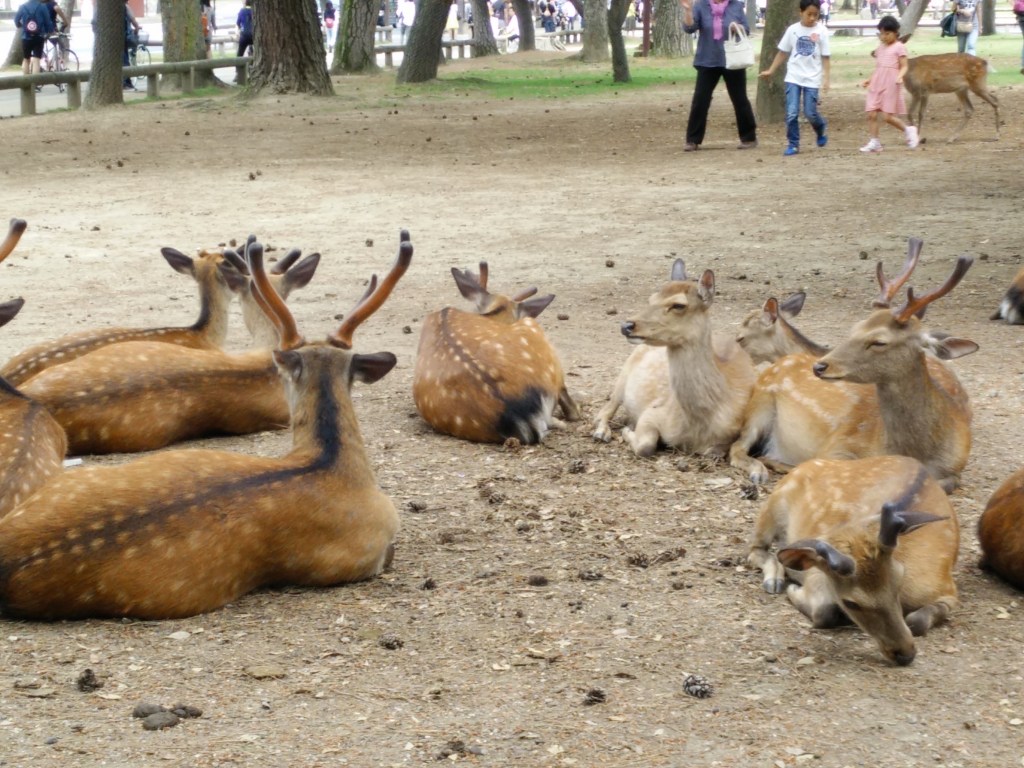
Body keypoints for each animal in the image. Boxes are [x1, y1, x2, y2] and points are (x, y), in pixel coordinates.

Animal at [592, 260, 756, 458]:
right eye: (651, 298)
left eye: (678, 305)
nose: (626, 326)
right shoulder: (652, 412)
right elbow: (645, 445)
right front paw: (628, 430)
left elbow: (712, 452)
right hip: (623, 376)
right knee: (604, 410)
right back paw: (602, 433)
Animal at [729, 241, 977, 492]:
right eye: (855, 328)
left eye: (879, 341)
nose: (820, 367)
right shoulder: (836, 446)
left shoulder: (955, 470)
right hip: (760, 405)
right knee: (738, 448)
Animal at [748, 455, 960, 666]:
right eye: (851, 603)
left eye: (898, 583)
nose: (905, 654)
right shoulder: (818, 575)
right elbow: (824, 611)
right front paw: (793, 590)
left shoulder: (947, 589)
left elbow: (917, 621)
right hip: (774, 502)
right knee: (755, 550)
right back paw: (774, 580)